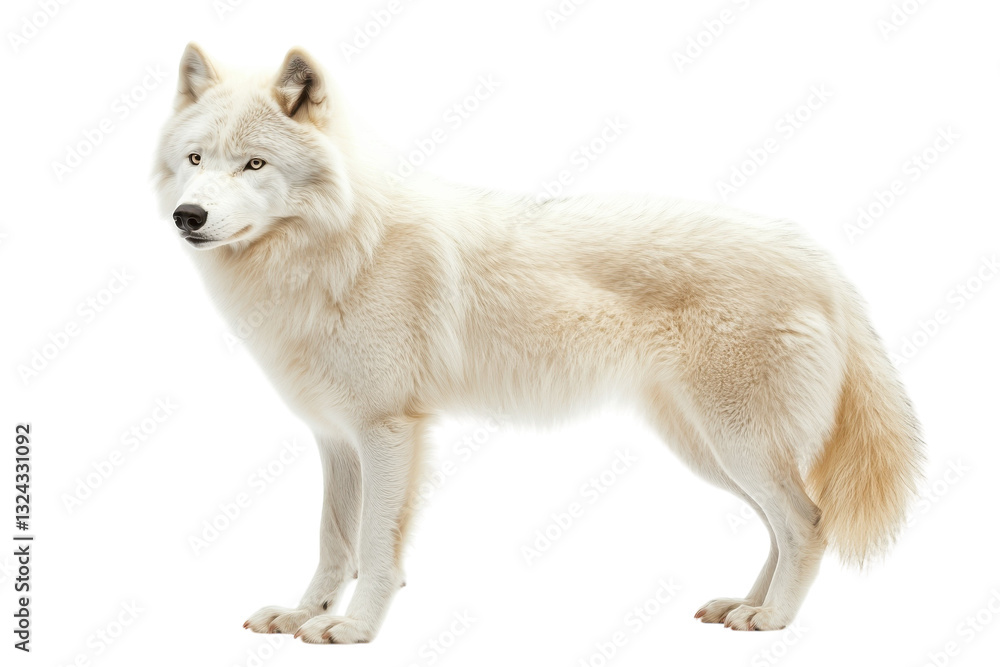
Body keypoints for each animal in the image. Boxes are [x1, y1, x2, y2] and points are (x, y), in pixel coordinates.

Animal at [153, 43, 923, 642]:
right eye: (195, 158)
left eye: (253, 165)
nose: (187, 216)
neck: (339, 252)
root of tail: (819, 260)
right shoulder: (336, 439)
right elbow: (332, 542)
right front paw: (303, 615)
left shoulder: (388, 430)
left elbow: (374, 546)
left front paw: (354, 628)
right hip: (713, 450)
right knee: (780, 526)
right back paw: (746, 606)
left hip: (738, 445)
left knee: (809, 522)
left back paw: (772, 621)